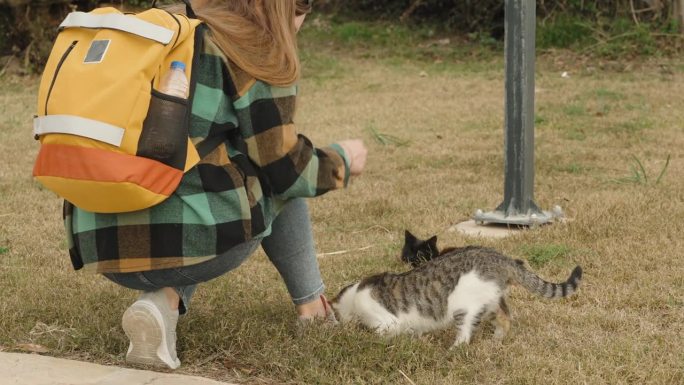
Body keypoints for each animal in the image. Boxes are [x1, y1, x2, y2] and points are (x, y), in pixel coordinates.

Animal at [332, 236, 584, 346]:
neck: (352, 296)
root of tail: (501, 258)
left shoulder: (386, 322)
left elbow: (381, 334)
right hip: (491, 300)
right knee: (505, 316)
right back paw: (496, 340)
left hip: (463, 304)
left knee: (466, 331)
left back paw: (454, 349)